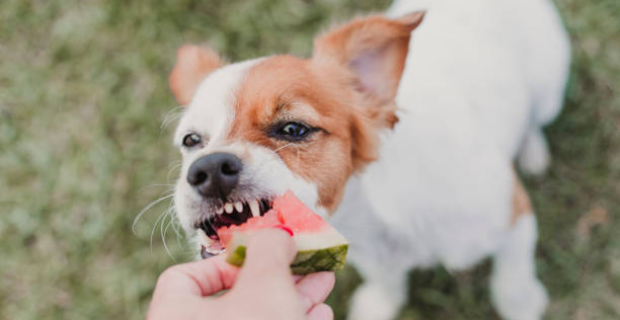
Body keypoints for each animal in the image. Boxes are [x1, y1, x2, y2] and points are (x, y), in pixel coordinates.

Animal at [167, 0, 568, 318]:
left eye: (293, 129)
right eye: (192, 141)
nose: (208, 169)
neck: (372, 213)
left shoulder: (515, 218)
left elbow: (512, 280)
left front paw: (522, 305)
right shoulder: (371, 255)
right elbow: (387, 282)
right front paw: (380, 303)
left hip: (549, 89)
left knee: (535, 120)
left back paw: (532, 149)